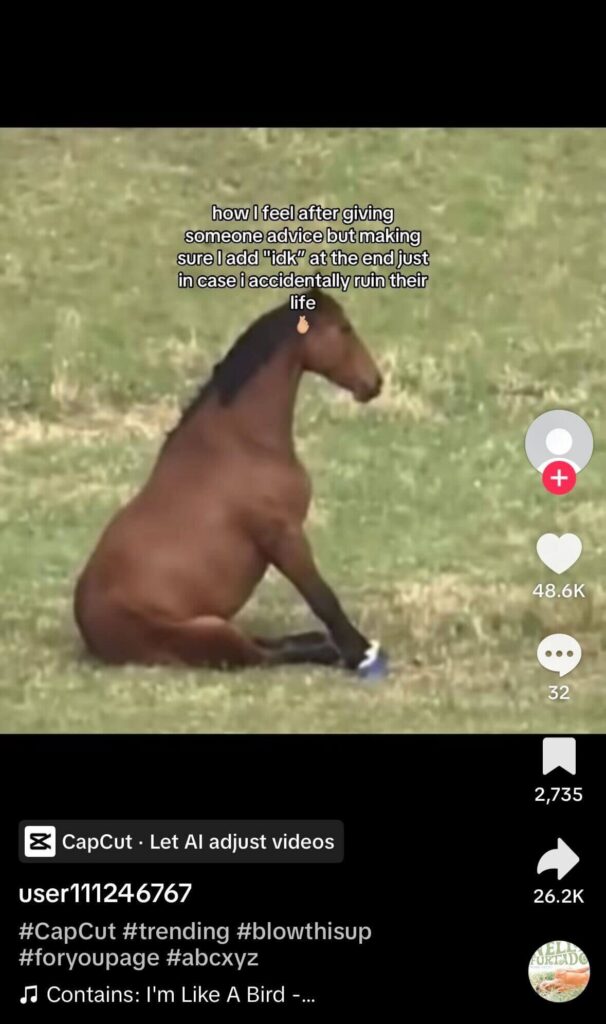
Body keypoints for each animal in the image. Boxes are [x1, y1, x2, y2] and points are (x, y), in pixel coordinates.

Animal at [73, 288, 384, 671]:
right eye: (344, 329)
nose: (374, 383)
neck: (243, 441)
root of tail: (89, 628)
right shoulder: (283, 535)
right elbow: (322, 596)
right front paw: (360, 652)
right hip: (211, 632)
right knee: (261, 655)